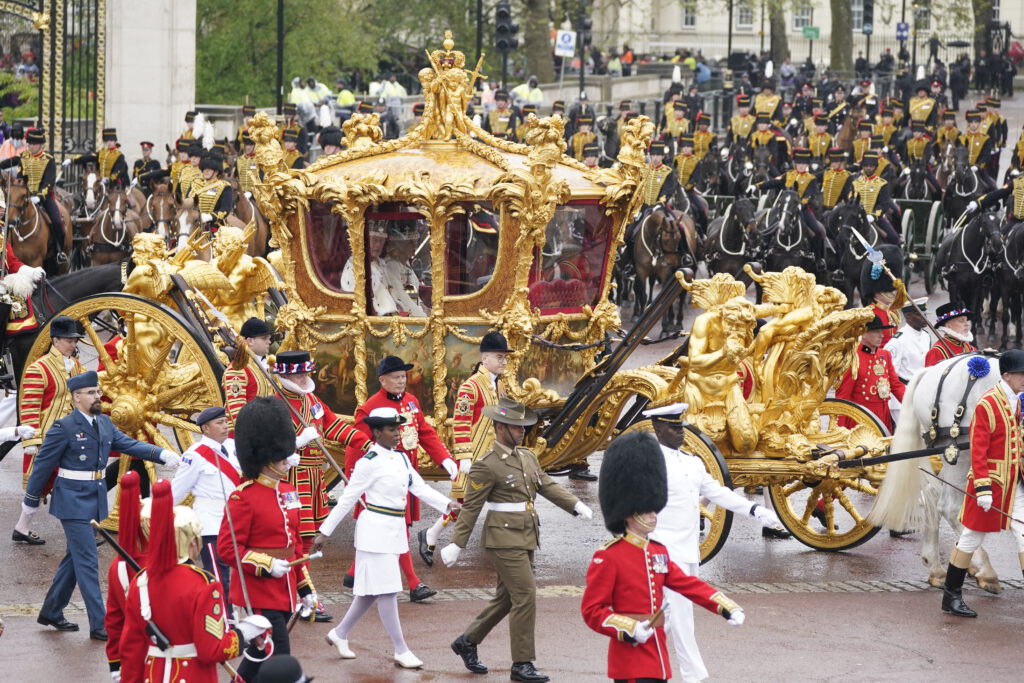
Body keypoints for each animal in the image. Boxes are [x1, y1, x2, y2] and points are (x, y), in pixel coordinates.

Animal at [868, 352, 1003, 593]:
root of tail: (933, 370)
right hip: (959, 452)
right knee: (950, 506)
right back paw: (985, 570)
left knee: (934, 495)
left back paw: (939, 568)